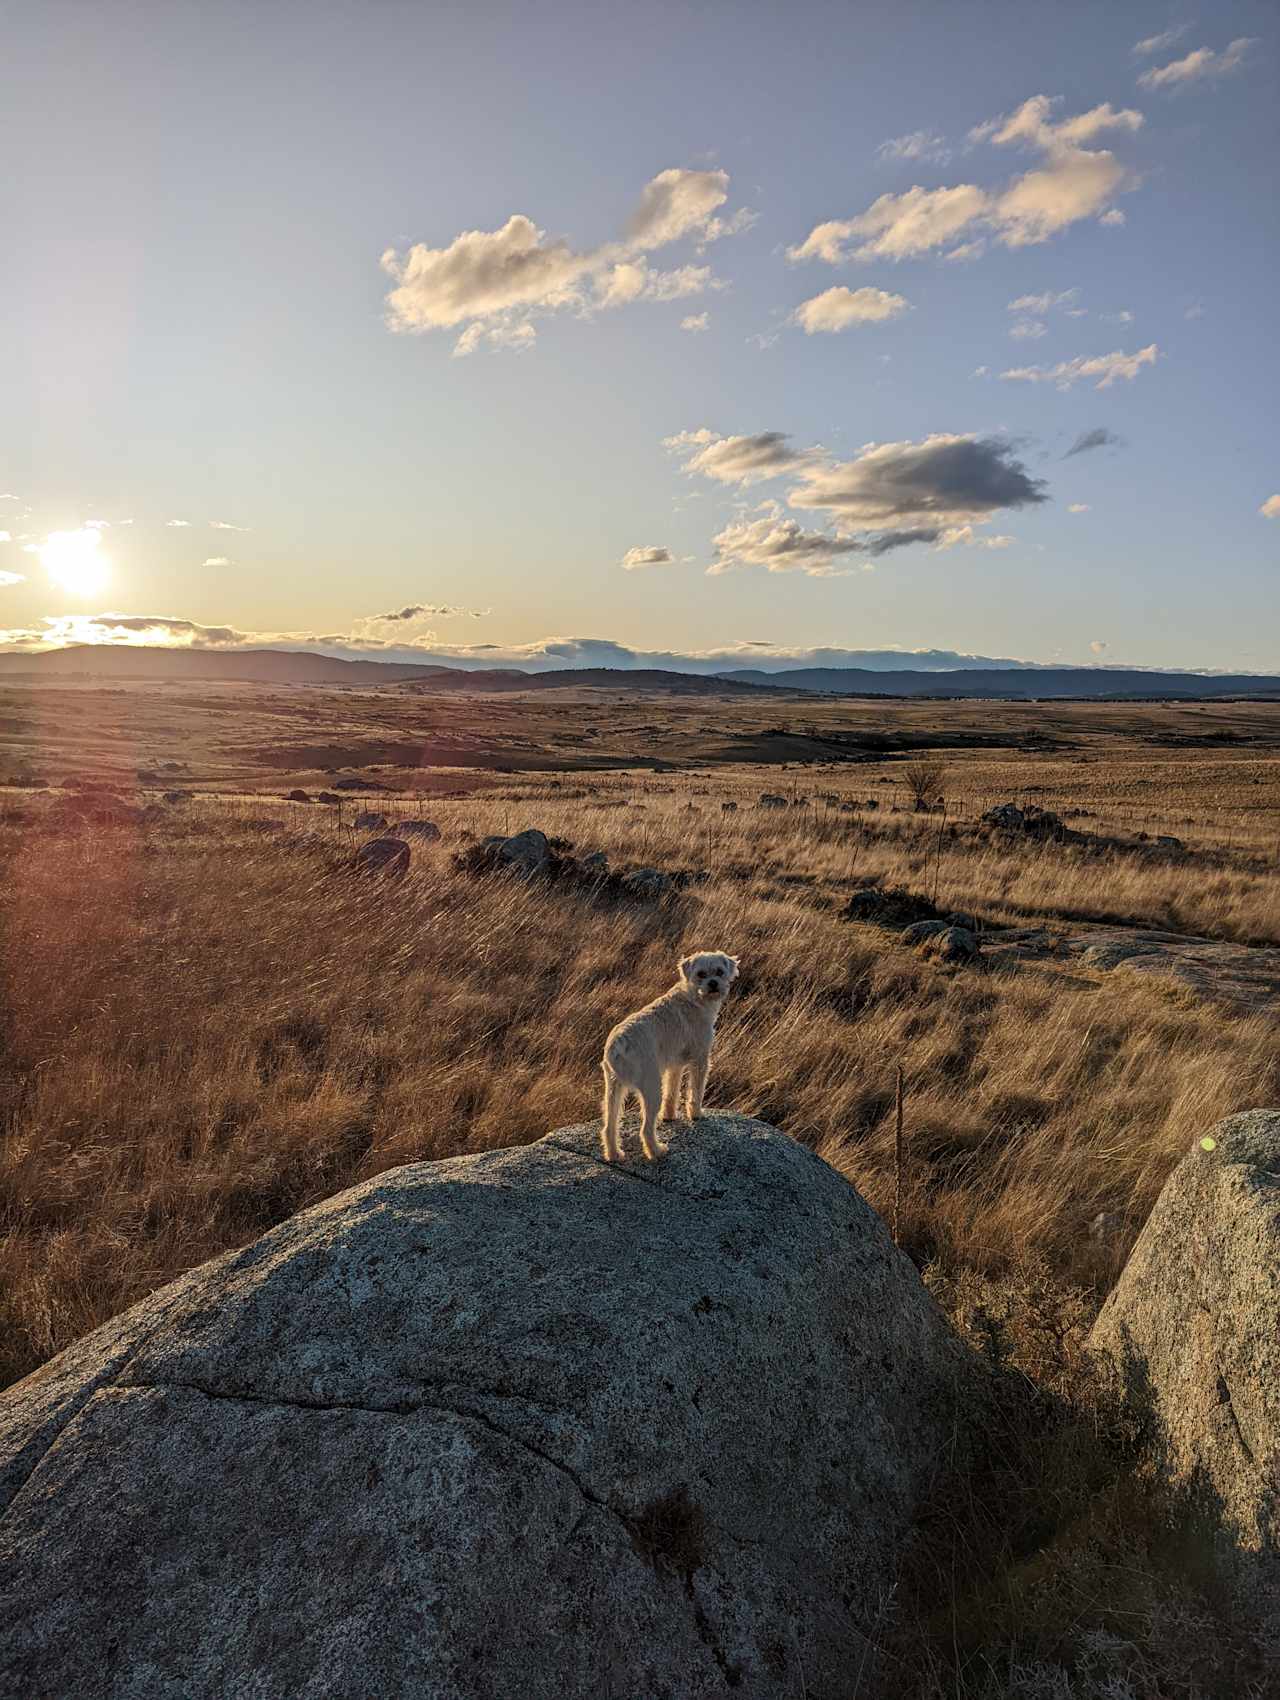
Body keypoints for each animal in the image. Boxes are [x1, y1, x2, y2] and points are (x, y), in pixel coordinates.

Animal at [598, 952, 737, 1162]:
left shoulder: (675, 1065)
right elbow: (696, 1091)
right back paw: (657, 1151)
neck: (693, 996)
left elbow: (672, 1091)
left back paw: (614, 1154)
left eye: (720, 972)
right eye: (701, 974)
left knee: (609, 1126)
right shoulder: (700, 1058)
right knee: (645, 1129)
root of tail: (619, 1044)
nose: (713, 983)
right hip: (650, 1087)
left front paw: (669, 1115)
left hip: (614, 1089)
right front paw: (696, 1114)